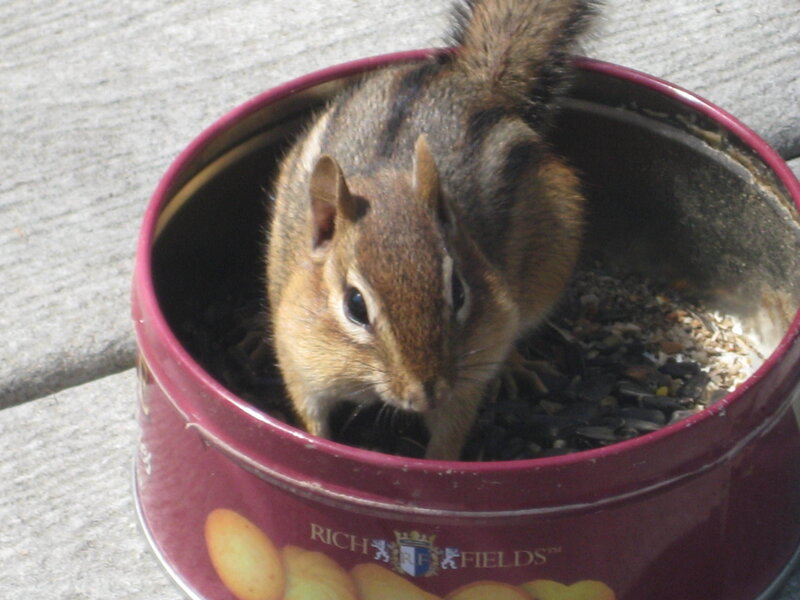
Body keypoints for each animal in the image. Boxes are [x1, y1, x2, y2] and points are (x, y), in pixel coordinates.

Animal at [266, 0, 595, 460]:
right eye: (354, 306)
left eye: (459, 291)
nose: (425, 394)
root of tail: (468, 81)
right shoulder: (300, 356)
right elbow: (311, 417)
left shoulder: (469, 371)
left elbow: (449, 437)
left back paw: (514, 366)